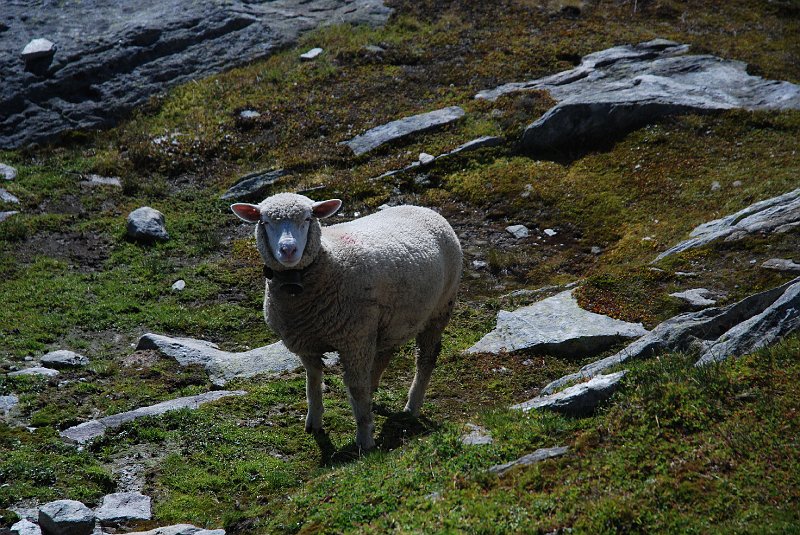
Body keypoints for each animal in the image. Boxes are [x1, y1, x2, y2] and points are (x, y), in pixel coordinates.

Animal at [231, 194, 462, 452]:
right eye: (265, 221)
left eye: (308, 218)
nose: (288, 250)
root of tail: (423, 209)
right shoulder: (307, 343)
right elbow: (313, 381)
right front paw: (314, 421)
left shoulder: (354, 340)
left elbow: (356, 387)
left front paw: (365, 439)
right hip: (389, 319)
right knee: (385, 353)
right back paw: (376, 389)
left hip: (440, 308)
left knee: (425, 358)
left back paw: (412, 406)